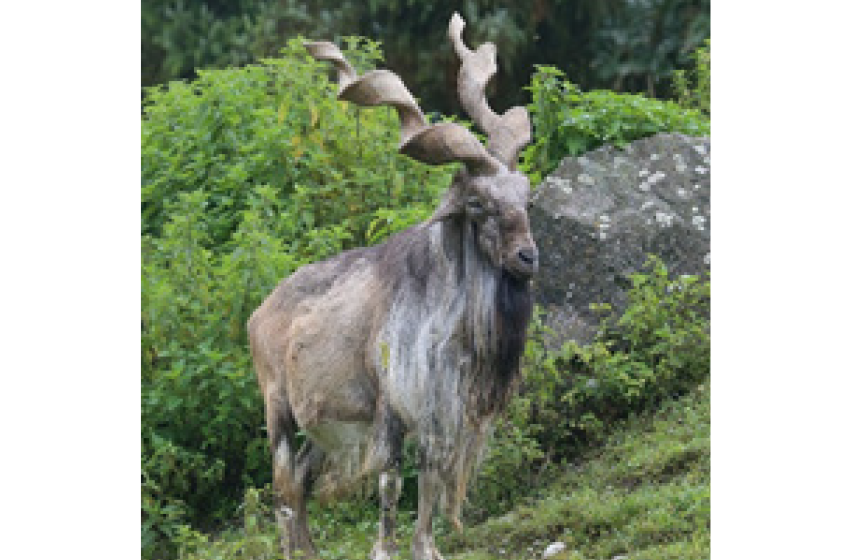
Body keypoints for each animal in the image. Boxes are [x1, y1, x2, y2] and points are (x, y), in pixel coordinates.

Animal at [245, 14, 536, 560]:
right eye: (478, 204)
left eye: (525, 195)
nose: (527, 257)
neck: (446, 327)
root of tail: (259, 313)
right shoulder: (391, 409)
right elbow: (391, 484)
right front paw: (385, 549)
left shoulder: (440, 415)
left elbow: (430, 483)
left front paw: (427, 547)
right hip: (278, 409)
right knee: (285, 489)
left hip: (326, 428)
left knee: (301, 481)